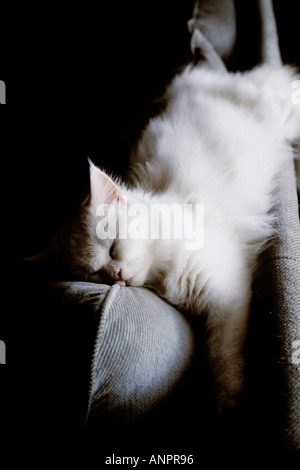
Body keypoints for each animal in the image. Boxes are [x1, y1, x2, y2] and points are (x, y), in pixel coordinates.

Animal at [47, 0, 300, 412]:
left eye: (113, 248)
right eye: (95, 273)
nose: (116, 276)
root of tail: (195, 78)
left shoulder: (226, 291)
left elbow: (221, 351)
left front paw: (226, 397)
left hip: (276, 111)